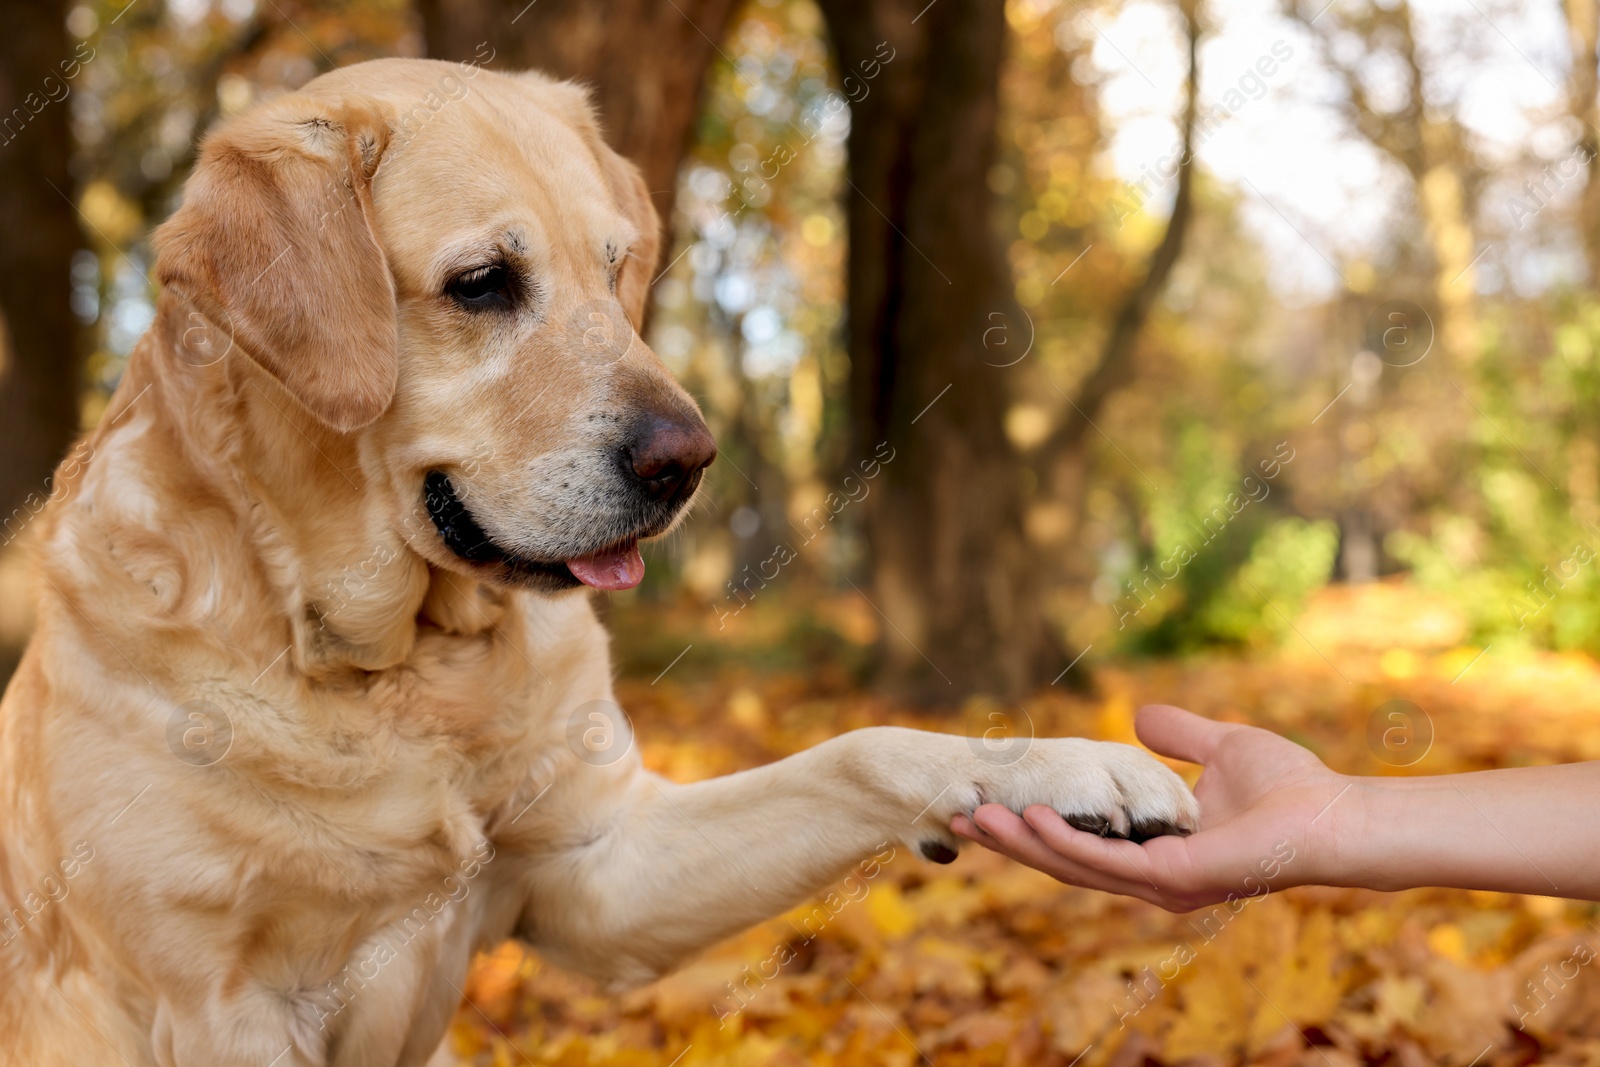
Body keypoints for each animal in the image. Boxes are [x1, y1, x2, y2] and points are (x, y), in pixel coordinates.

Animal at [0, 60, 1203, 1067]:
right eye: (482, 282)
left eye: (616, 265)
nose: (691, 460)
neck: (398, 667)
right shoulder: (215, 1002)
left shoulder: (601, 868)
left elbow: (859, 749)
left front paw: (1066, 766)